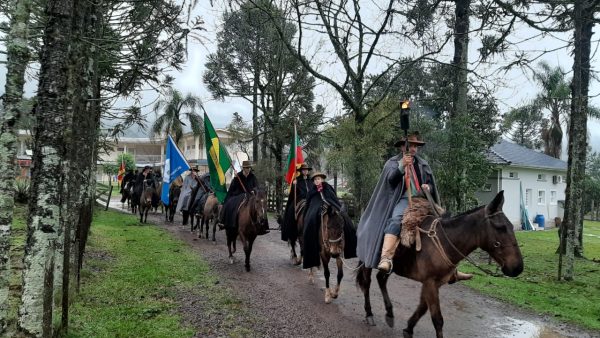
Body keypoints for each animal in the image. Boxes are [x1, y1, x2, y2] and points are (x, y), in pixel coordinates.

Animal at [356, 190, 520, 338]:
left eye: (511, 227)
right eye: (500, 227)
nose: (517, 268)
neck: (444, 242)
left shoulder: (433, 283)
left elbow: (422, 308)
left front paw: (408, 328)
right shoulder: (430, 282)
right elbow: (437, 320)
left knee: (381, 279)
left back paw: (389, 313)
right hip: (367, 261)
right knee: (367, 283)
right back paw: (369, 313)